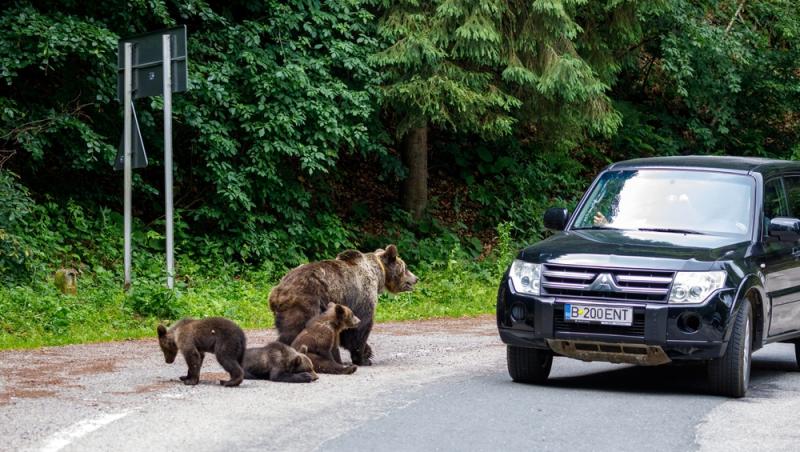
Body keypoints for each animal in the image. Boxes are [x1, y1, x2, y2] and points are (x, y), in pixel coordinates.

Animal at [270, 245, 418, 366]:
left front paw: (368, 352)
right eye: (406, 267)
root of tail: (276, 292)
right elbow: (360, 328)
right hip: (305, 302)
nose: (416, 278)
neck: (379, 274)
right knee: (293, 331)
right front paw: (363, 358)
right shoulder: (363, 296)